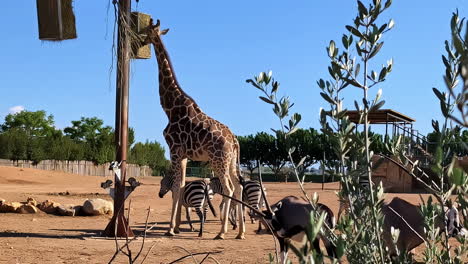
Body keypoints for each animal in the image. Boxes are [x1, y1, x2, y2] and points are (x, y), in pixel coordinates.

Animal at [142, 19, 245, 239]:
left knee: (229, 189)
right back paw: (240, 232)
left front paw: (170, 229)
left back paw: (222, 231)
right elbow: (180, 187)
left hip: (218, 160)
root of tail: (234, 140)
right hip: (231, 161)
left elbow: (175, 187)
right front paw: (177, 226)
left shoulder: (174, 150)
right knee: (239, 186)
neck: (170, 108)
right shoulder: (184, 155)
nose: (142, 40)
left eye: (148, 31)